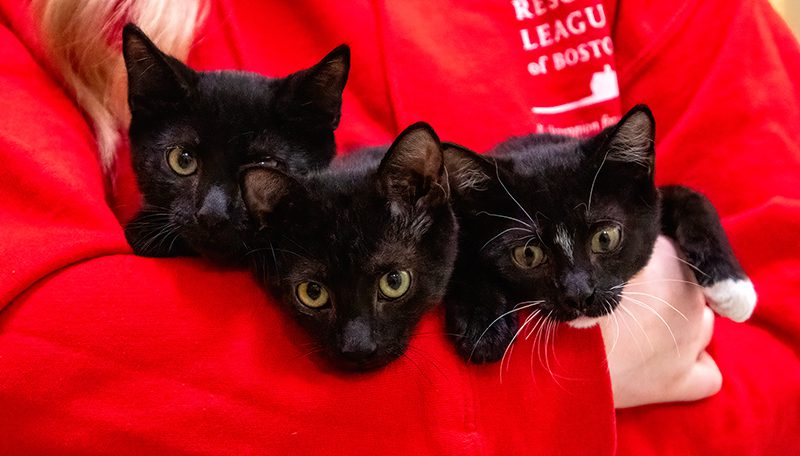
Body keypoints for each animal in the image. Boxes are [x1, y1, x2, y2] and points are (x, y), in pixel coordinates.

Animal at [444, 104, 756, 364]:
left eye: (605, 238)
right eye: (528, 254)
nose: (579, 294)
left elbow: (690, 195)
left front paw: (732, 284)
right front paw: (482, 320)